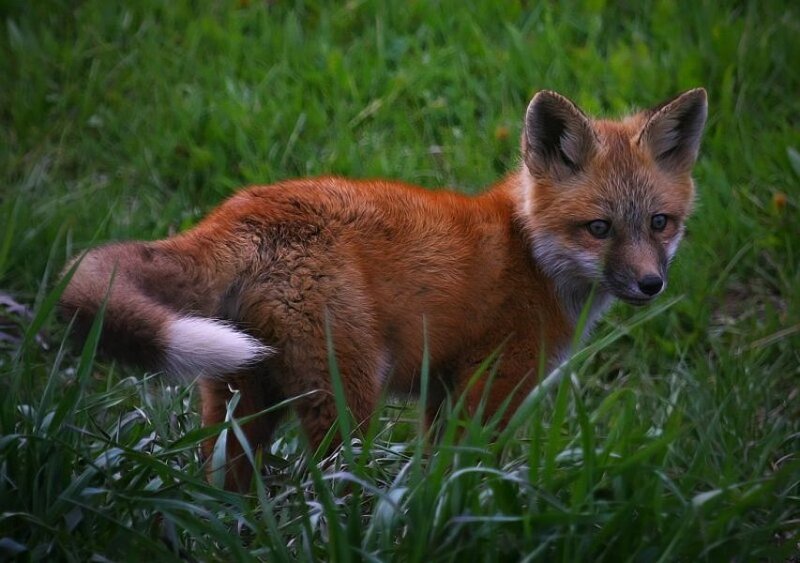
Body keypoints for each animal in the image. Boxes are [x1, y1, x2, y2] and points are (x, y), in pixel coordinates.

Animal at [59, 89, 707, 490]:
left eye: (660, 223)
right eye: (599, 228)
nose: (650, 284)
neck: (528, 249)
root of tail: (242, 209)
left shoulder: (441, 391)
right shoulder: (489, 387)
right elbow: (461, 479)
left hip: (243, 398)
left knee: (224, 485)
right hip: (347, 400)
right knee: (325, 487)